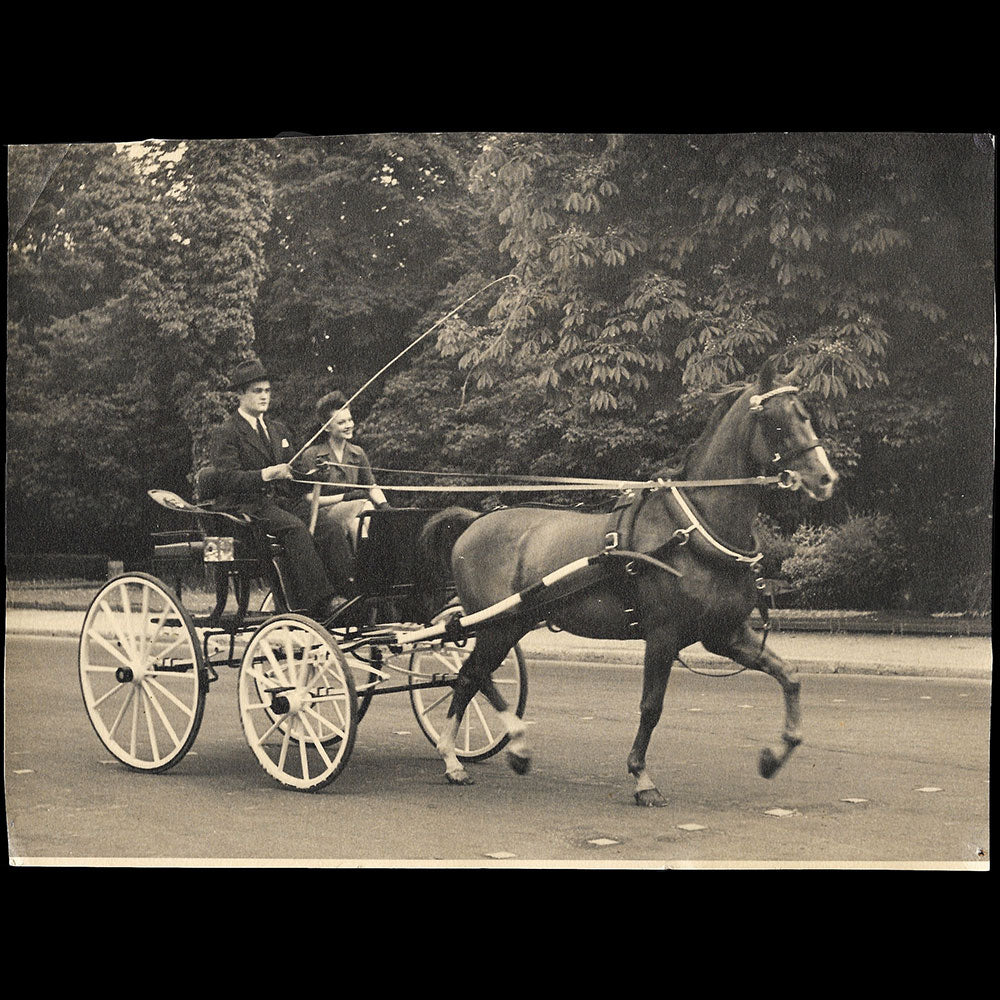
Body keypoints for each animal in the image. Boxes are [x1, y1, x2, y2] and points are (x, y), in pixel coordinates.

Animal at [412, 360, 836, 804]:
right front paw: (641, 777)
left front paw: (775, 755)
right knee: (473, 675)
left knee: (470, 677)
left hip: (513, 623)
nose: (826, 478)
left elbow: (789, 676)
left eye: (806, 414)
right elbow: (651, 706)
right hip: (498, 625)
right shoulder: (663, 635)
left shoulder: (725, 634)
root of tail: (474, 521)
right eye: (778, 422)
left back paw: (469, 753)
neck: (690, 530)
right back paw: (492, 749)